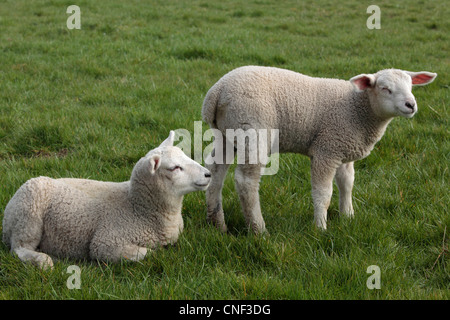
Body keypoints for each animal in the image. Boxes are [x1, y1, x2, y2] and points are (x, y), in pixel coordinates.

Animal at [1, 131, 211, 268]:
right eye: (174, 168)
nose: (208, 174)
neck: (137, 207)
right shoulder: (106, 243)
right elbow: (150, 254)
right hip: (28, 215)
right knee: (18, 249)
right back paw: (44, 261)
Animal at [203, 67, 436, 232]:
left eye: (411, 86)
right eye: (385, 89)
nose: (411, 105)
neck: (358, 109)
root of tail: (217, 91)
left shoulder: (342, 149)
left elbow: (347, 184)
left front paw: (348, 217)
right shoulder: (327, 150)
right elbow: (324, 193)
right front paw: (320, 228)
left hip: (226, 134)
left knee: (215, 172)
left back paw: (217, 223)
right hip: (253, 129)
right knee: (246, 181)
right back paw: (259, 230)